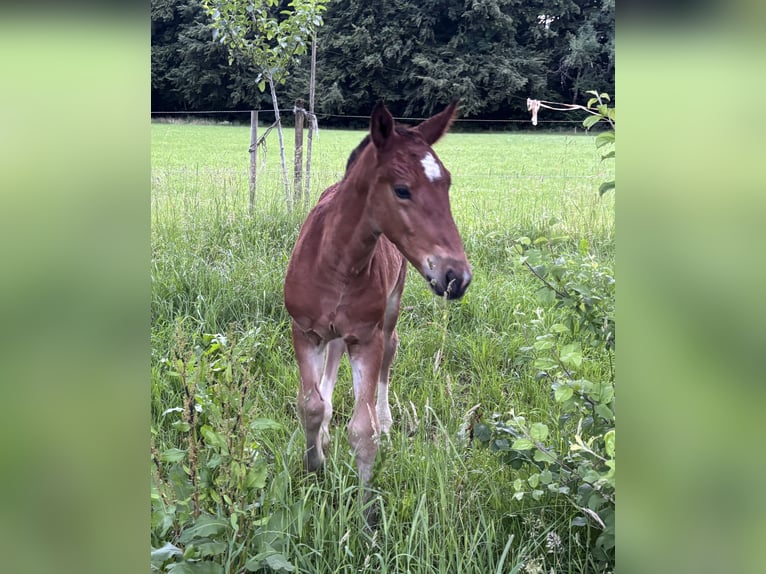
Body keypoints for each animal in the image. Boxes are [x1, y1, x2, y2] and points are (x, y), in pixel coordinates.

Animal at [283, 101, 472, 487]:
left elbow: (363, 429)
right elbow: (310, 405)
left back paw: (386, 420)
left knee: (391, 347)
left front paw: (364, 499)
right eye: (402, 190)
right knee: (335, 354)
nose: (456, 277)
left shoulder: (367, 338)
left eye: (446, 183)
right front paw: (314, 462)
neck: (335, 262)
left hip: (391, 306)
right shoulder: (304, 331)